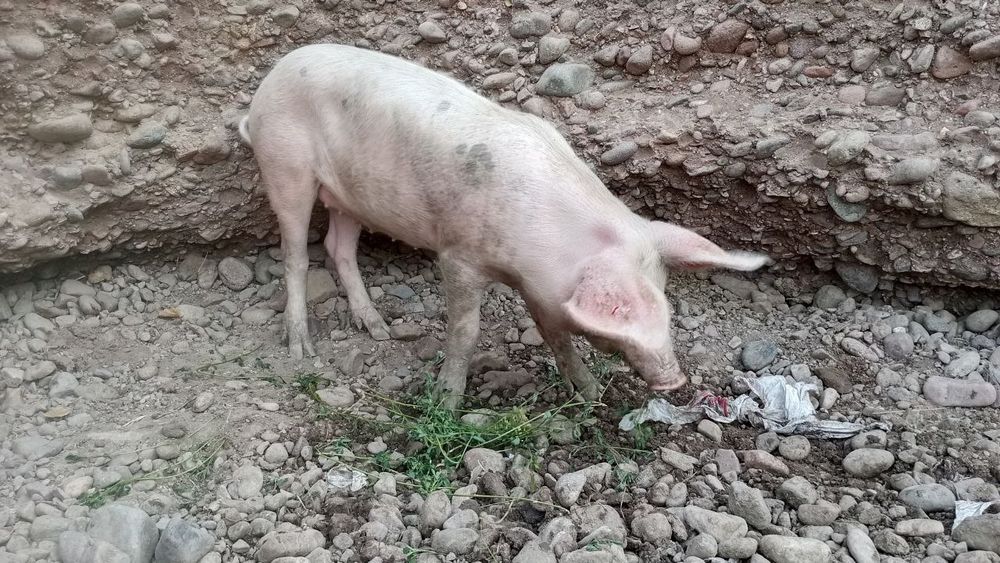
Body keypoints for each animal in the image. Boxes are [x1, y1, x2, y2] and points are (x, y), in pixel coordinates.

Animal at [239, 43, 771, 409]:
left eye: (666, 305)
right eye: (619, 315)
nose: (673, 380)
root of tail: (267, 84)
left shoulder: (541, 289)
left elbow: (558, 339)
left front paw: (590, 394)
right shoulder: (457, 255)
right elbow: (466, 331)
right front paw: (447, 403)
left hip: (349, 195)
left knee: (339, 247)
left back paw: (379, 331)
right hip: (283, 164)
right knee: (297, 254)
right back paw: (301, 348)